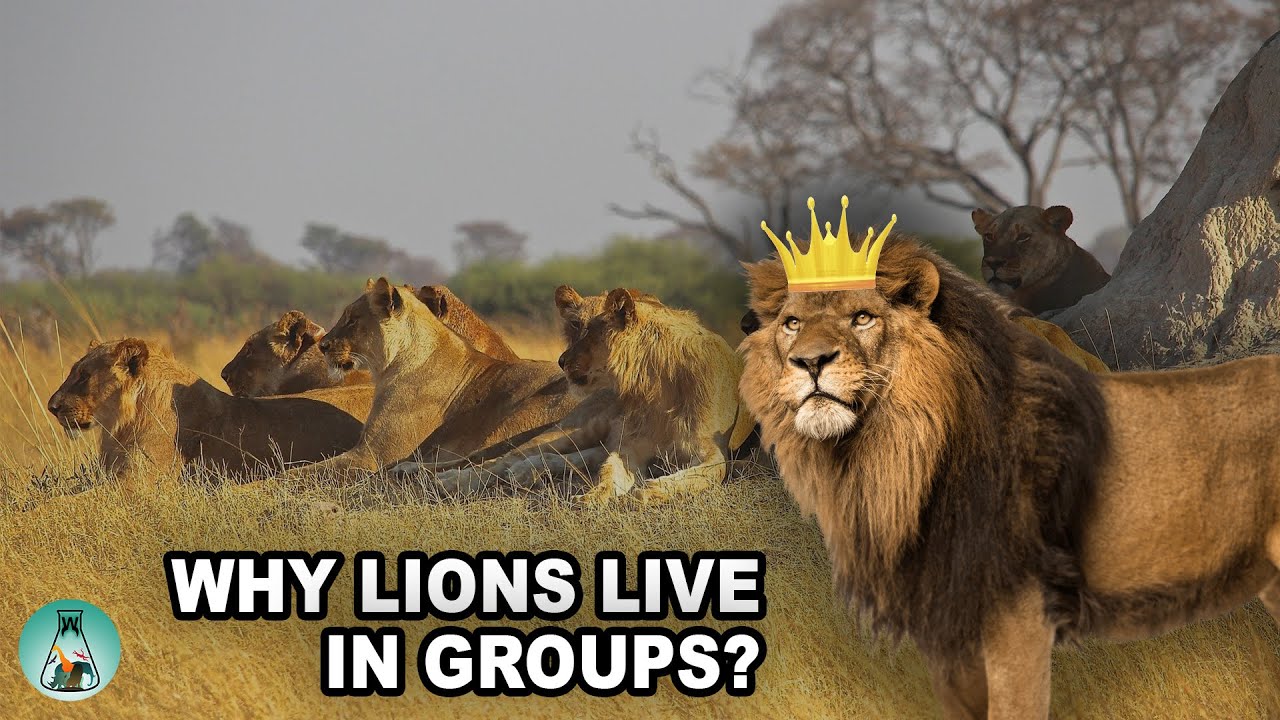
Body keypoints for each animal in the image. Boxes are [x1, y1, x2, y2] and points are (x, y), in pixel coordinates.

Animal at [277, 277, 579, 482]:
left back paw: (409, 469)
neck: (389, 367)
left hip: (517, 417)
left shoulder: (371, 455)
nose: (323, 345)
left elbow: (298, 472)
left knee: (490, 458)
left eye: (352, 320)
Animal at [738, 235, 1280, 718]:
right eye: (791, 324)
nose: (809, 361)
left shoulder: (1017, 616)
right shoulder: (947, 625)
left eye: (863, 317)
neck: (892, 457)